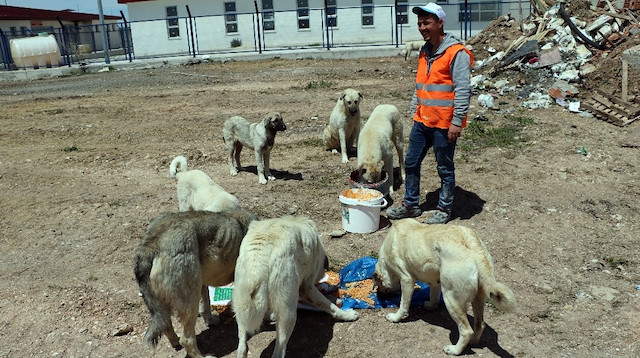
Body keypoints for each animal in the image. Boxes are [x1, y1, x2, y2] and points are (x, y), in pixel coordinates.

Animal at [134, 210, 255, 358]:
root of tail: (150, 244)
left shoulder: (203, 283)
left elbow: (206, 304)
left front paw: (210, 320)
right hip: (190, 300)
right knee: (187, 339)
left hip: (175, 298)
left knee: (167, 326)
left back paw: (175, 343)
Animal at [232, 215, 360, 358]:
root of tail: (259, 258)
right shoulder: (307, 287)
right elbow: (329, 305)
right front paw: (347, 314)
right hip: (289, 314)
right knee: (279, 350)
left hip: (241, 307)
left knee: (242, 345)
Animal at [372, 218, 516, 356]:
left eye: (379, 285)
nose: (379, 296)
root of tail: (476, 251)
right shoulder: (435, 282)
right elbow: (434, 297)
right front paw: (430, 306)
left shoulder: (406, 280)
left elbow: (403, 305)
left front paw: (395, 318)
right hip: (478, 299)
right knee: (480, 324)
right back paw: (473, 342)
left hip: (451, 299)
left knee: (466, 330)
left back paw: (454, 350)